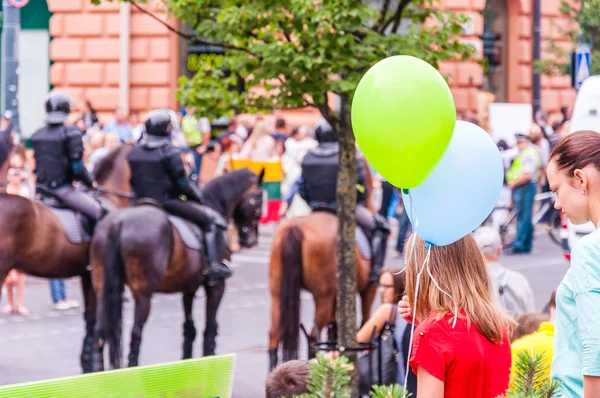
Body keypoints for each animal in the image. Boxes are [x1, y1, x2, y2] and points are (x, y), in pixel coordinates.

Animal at [0, 144, 132, 374]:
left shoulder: (87, 275)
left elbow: (90, 318)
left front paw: (88, 362)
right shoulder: (99, 277)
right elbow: (99, 318)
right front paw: (96, 363)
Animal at [89, 167, 264, 370]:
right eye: (260, 197)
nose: (251, 240)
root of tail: (119, 222)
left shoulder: (188, 288)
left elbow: (189, 328)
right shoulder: (216, 286)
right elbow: (210, 327)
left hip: (103, 290)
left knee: (100, 332)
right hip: (143, 295)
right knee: (135, 334)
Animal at [268, 156, 378, 370]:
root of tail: (296, 227)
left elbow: (336, 327)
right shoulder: (368, 288)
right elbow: (366, 318)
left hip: (278, 293)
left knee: (275, 334)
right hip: (323, 297)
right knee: (314, 335)